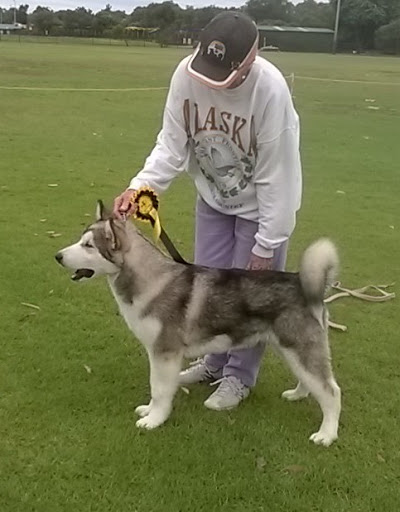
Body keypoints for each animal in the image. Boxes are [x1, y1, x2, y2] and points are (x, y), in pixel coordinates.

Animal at [56, 202, 342, 446]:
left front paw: (154, 420)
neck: (152, 281)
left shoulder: (165, 353)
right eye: (82, 241)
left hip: (300, 349)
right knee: (311, 381)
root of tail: (303, 283)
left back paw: (326, 435)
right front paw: (149, 411)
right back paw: (298, 395)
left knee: (332, 391)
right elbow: (156, 387)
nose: (58, 256)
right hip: (291, 350)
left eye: (89, 245)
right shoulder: (158, 354)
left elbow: (159, 389)